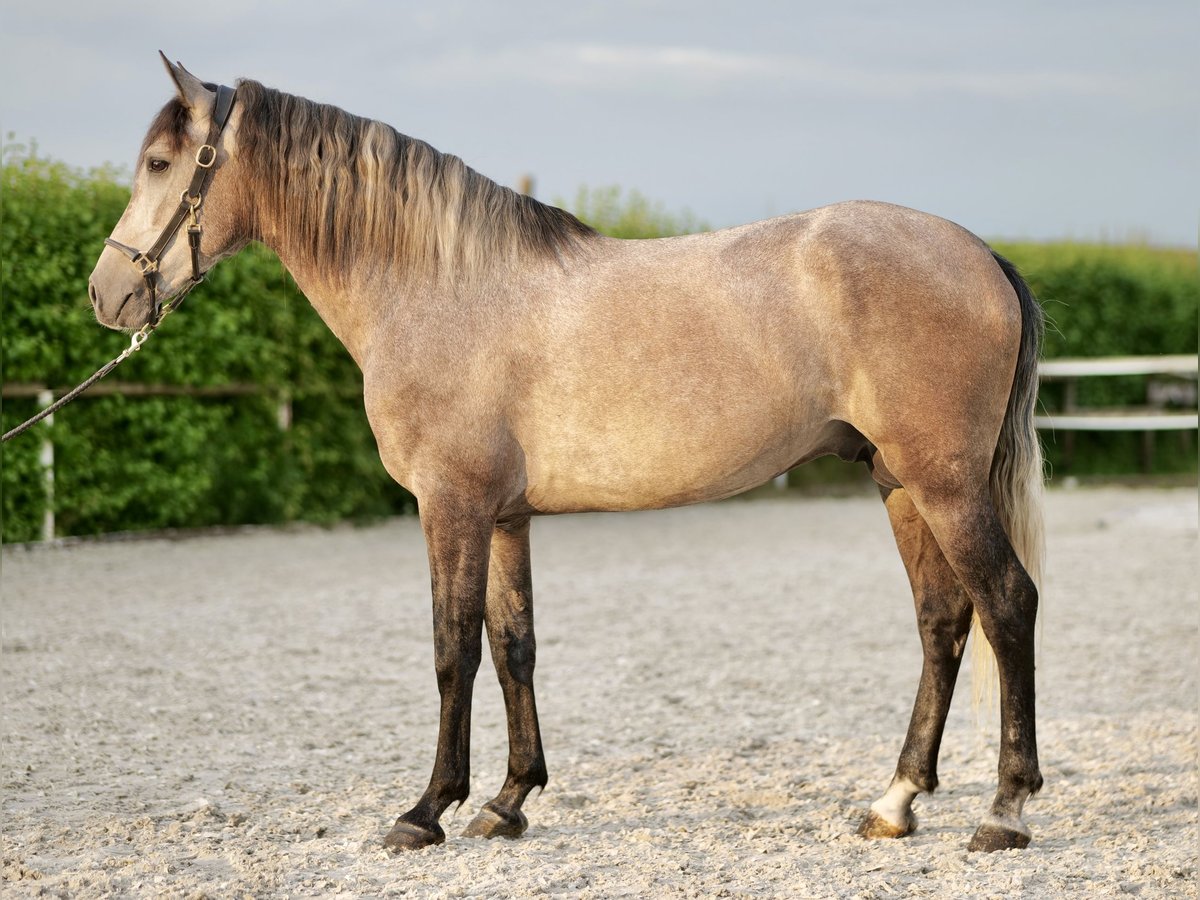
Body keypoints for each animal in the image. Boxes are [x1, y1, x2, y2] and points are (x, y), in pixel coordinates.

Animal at [87, 58, 1041, 859]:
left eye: (163, 163)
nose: (107, 293)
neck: (439, 288)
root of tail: (982, 253)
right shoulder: (505, 516)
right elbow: (514, 645)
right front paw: (507, 802)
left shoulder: (451, 505)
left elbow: (451, 650)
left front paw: (425, 810)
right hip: (899, 484)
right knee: (942, 622)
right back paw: (895, 802)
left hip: (945, 484)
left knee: (1007, 604)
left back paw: (1004, 810)